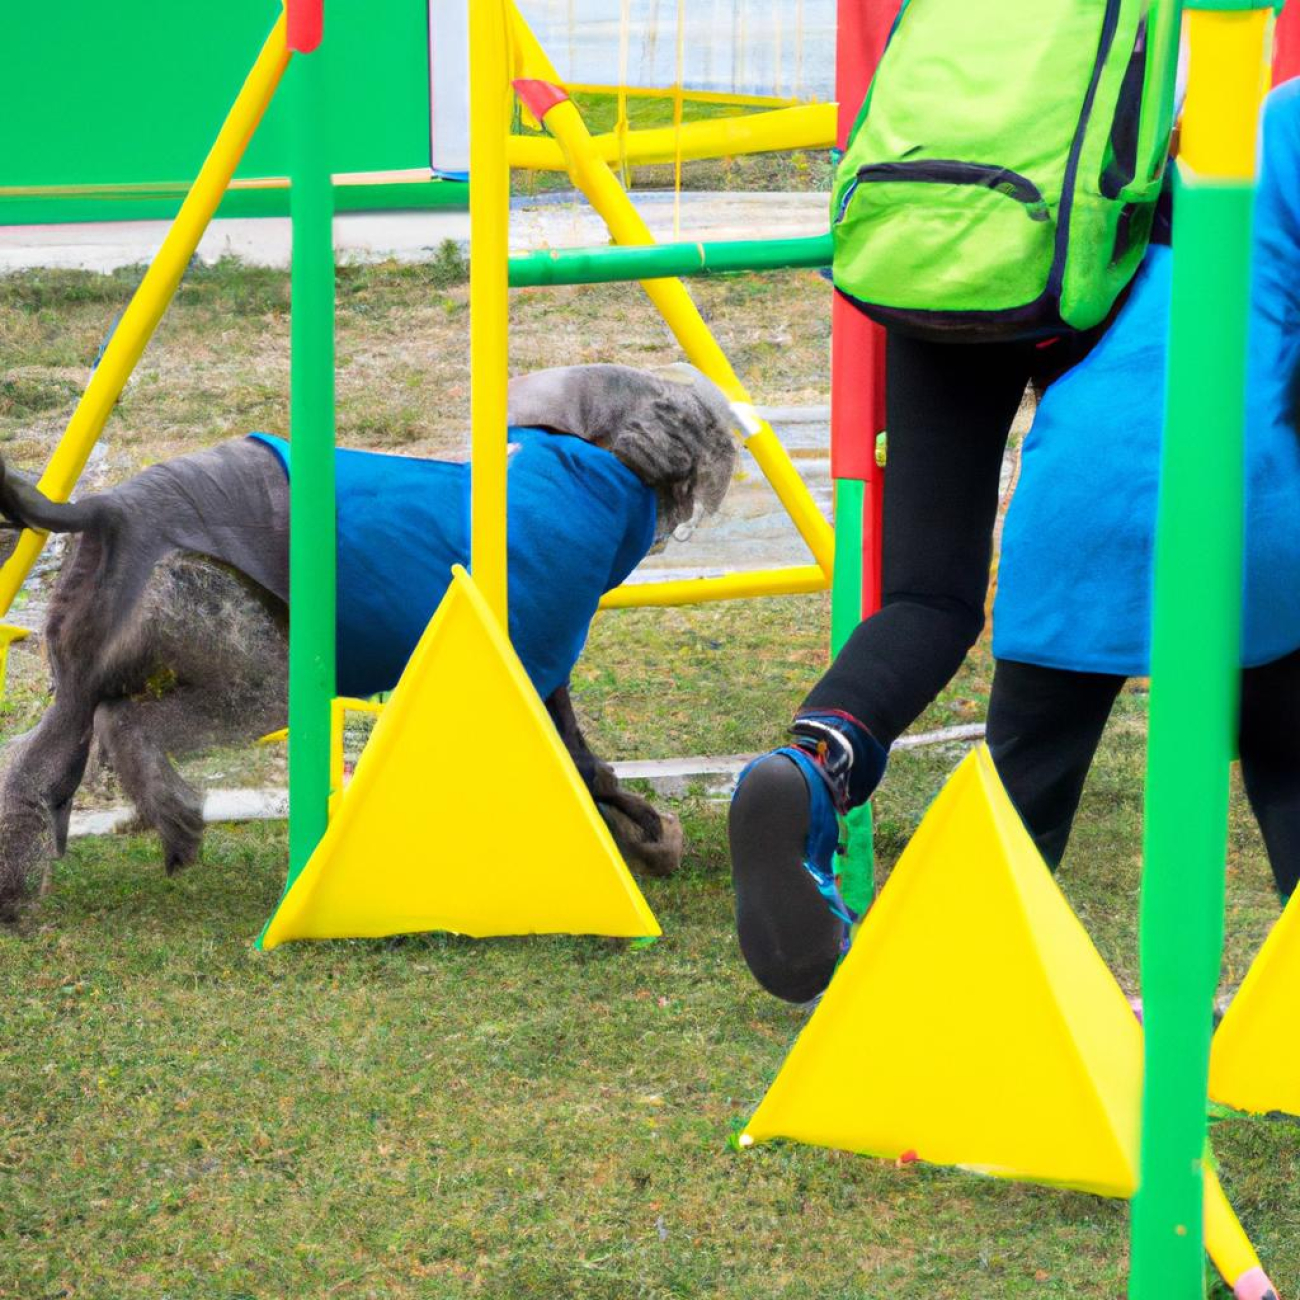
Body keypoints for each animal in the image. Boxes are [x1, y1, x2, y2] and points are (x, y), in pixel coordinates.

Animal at [0, 361, 738, 920]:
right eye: (696, 422)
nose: (721, 454)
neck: (584, 453)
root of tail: (112, 509)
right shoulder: (541, 632)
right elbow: (576, 757)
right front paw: (648, 835)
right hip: (246, 646)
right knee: (126, 722)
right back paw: (177, 825)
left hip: (90, 643)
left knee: (47, 752)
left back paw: (19, 895)